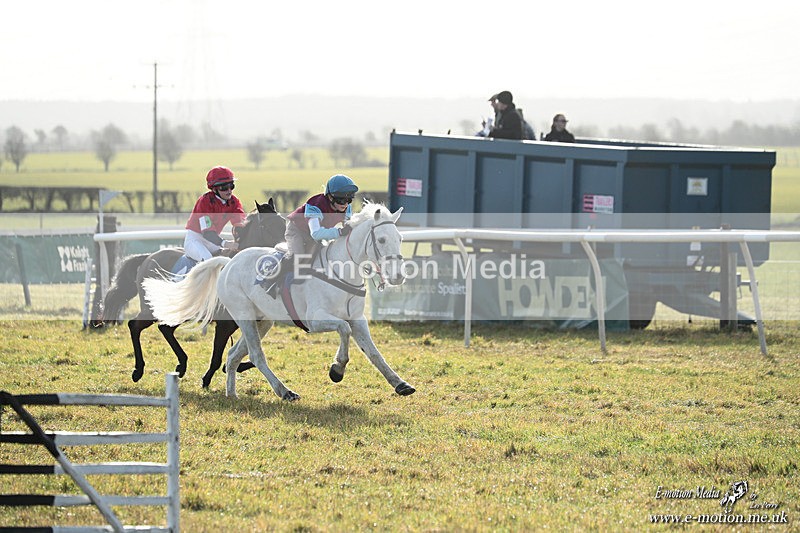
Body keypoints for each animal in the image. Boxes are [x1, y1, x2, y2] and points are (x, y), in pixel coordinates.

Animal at [96, 199, 287, 388]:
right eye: (269, 225)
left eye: (283, 222)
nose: (285, 248)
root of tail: (148, 257)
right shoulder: (224, 324)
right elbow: (218, 357)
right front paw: (206, 380)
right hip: (151, 309)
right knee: (135, 326)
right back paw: (139, 370)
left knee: (165, 328)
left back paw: (181, 364)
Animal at [143, 203, 415, 401]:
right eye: (381, 240)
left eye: (400, 238)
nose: (398, 276)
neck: (340, 271)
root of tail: (228, 262)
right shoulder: (316, 320)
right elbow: (344, 330)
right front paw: (337, 370)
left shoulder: (358, 320)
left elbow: (374, 352)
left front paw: (400, 384)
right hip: (243, 315)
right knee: (256, 355)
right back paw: (285, 391)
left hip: (262, 320)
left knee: (233, 354)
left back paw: (232, 394)